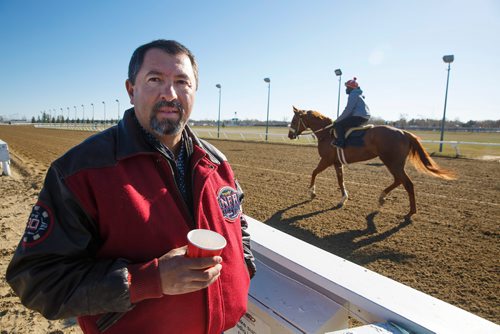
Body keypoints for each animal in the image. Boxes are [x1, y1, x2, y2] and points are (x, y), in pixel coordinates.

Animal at [288, 105, 456, 218]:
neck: (327, 133)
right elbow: (340, 180)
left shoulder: (326, 160)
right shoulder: (336, 163)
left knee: (407, 183)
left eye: (294, 119)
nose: (290, 135)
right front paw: (343, 199)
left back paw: (410, 212)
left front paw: (311, 192)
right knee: (399, 180)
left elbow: (314, 172)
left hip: (392, 162)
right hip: (393, 163)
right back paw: (382, 196)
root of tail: (404, 132)